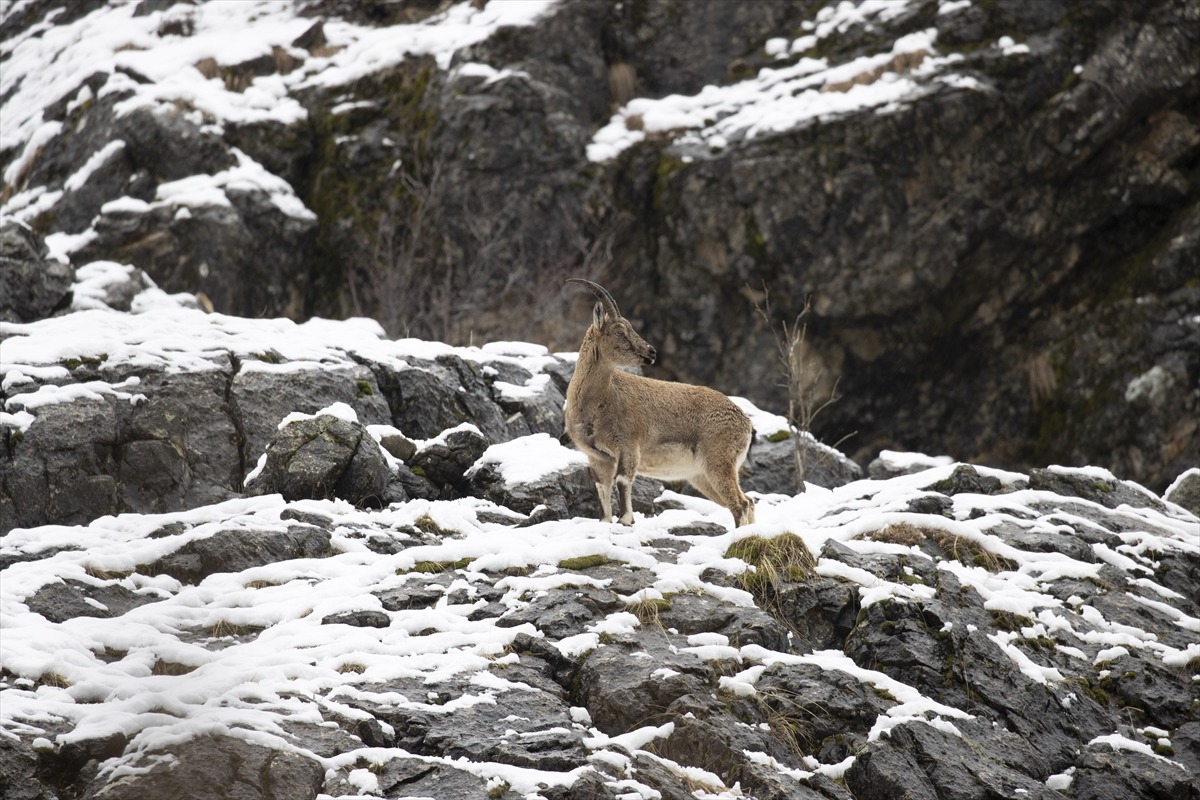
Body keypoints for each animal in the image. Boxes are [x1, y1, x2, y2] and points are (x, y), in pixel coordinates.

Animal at [564, 278, 753, 527]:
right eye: (619, 331)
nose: (651, 352)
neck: (601, 400)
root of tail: (746, 423)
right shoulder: (598, 457)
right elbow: (602, 489)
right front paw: (607, 522)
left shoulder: (628, 446)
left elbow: (623, 480)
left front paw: (626, 520)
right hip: (702, 476)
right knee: (748, 502)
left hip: (719, 463)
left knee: (740, 505)